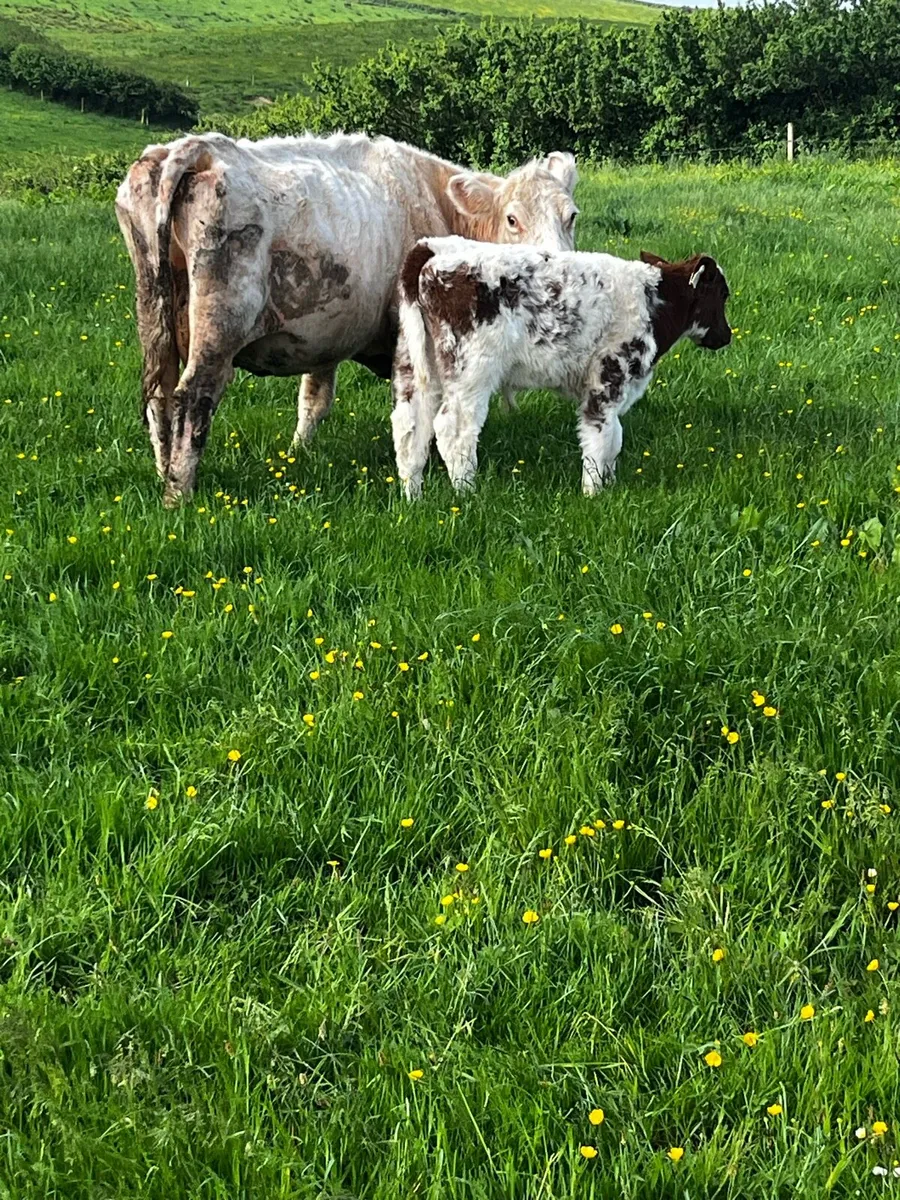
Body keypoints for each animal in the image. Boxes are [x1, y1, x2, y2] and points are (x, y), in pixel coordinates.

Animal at [115, 132, 578, 506]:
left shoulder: (324, 336)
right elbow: (420, 405)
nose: (557, 266)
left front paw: (299, 453)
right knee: (192, 398)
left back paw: (164, 473)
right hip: (220, 326)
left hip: (154, 321)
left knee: (159, 398)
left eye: (571, 215)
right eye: (513, 219)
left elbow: (314, 400)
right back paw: (179, 494)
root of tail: (197, 147)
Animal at [391, 239, 731, 497]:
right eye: (722, 294)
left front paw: (610, 485)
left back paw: (413, 496)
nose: (726, 336)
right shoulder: (608, 378)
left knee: (410, 425)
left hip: (415, 361)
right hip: (470, 370)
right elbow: (601, 437)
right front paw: (593, 493)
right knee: (453, 429)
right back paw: (466, 494)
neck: (653, 302)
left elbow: (615, 438)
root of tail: (432, 248)